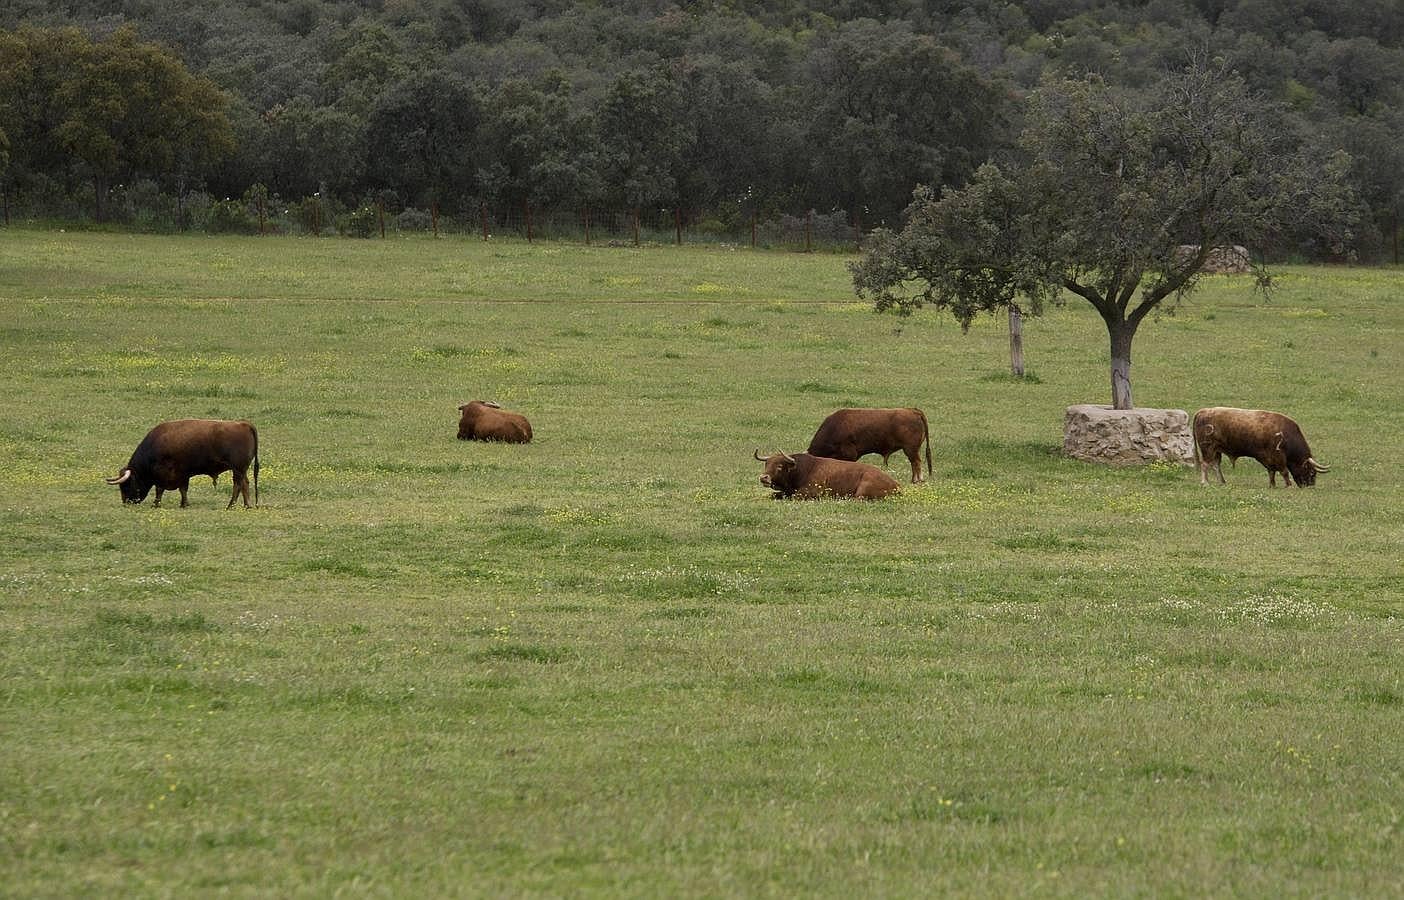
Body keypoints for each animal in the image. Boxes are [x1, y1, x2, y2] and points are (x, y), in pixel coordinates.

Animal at [106, 415, 261, 505]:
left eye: (126, 485)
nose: (126, 502)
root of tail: (244, 424)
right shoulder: (183, 474)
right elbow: (183, 489)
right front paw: (184, 504)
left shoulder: (164, 473)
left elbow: (160, 489)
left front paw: (156, 504)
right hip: (241, 470)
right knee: (245, 484)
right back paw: (246, 505)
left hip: (238, 469)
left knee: (238, 485)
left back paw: (231, 505)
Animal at [808, 404, 937, 480]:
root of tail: (912, 410)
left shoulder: (849, 454)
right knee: (914, 463)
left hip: (910, 449)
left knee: (916, 462)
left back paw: (917, 480)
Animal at [1196, 407, 1325, 488]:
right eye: (1312, 472)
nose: (1310, 485)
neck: (1287, 435)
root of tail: (1202, 411)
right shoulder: (1278, 456)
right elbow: (1284, 471)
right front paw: (1288, 485)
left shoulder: (1268, 458)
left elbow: (1271, 471)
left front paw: (1272, 485)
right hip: (1207, 448)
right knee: (1205, 464)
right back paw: (1205, 483)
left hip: (1216, 450)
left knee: (1216, 465)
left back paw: (1222, 482)